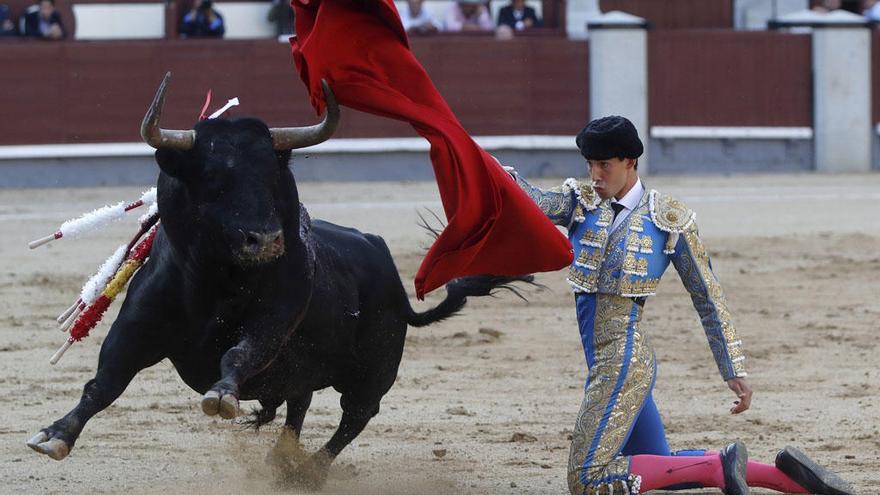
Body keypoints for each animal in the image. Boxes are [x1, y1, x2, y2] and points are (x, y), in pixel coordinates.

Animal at [27, 74, 528, 488]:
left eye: (273, 175)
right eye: (211, 177)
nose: (265, 239)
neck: (214, 281)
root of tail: (397, 286)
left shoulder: (273, 322)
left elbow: (239, 353)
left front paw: (222, 396)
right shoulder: (136, 329)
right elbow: (104, 383)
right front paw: (55, 434)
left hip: (375, 369)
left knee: (355, 416)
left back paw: (307, 471)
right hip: (311, 369)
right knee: (298, 404)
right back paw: (281, 459)